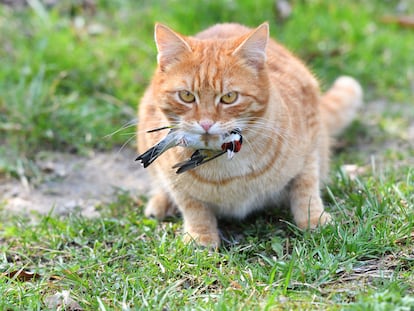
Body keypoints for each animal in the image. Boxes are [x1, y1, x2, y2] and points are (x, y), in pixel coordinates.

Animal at [137, 22, 362, 247]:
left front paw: (314, 220)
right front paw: (200, 237)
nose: (206, 123)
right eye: (186, 96)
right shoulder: (175, 180)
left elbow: (306, 189)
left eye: (229, 97)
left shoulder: (310, 146)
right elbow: (193, 207)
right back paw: (161, 203)